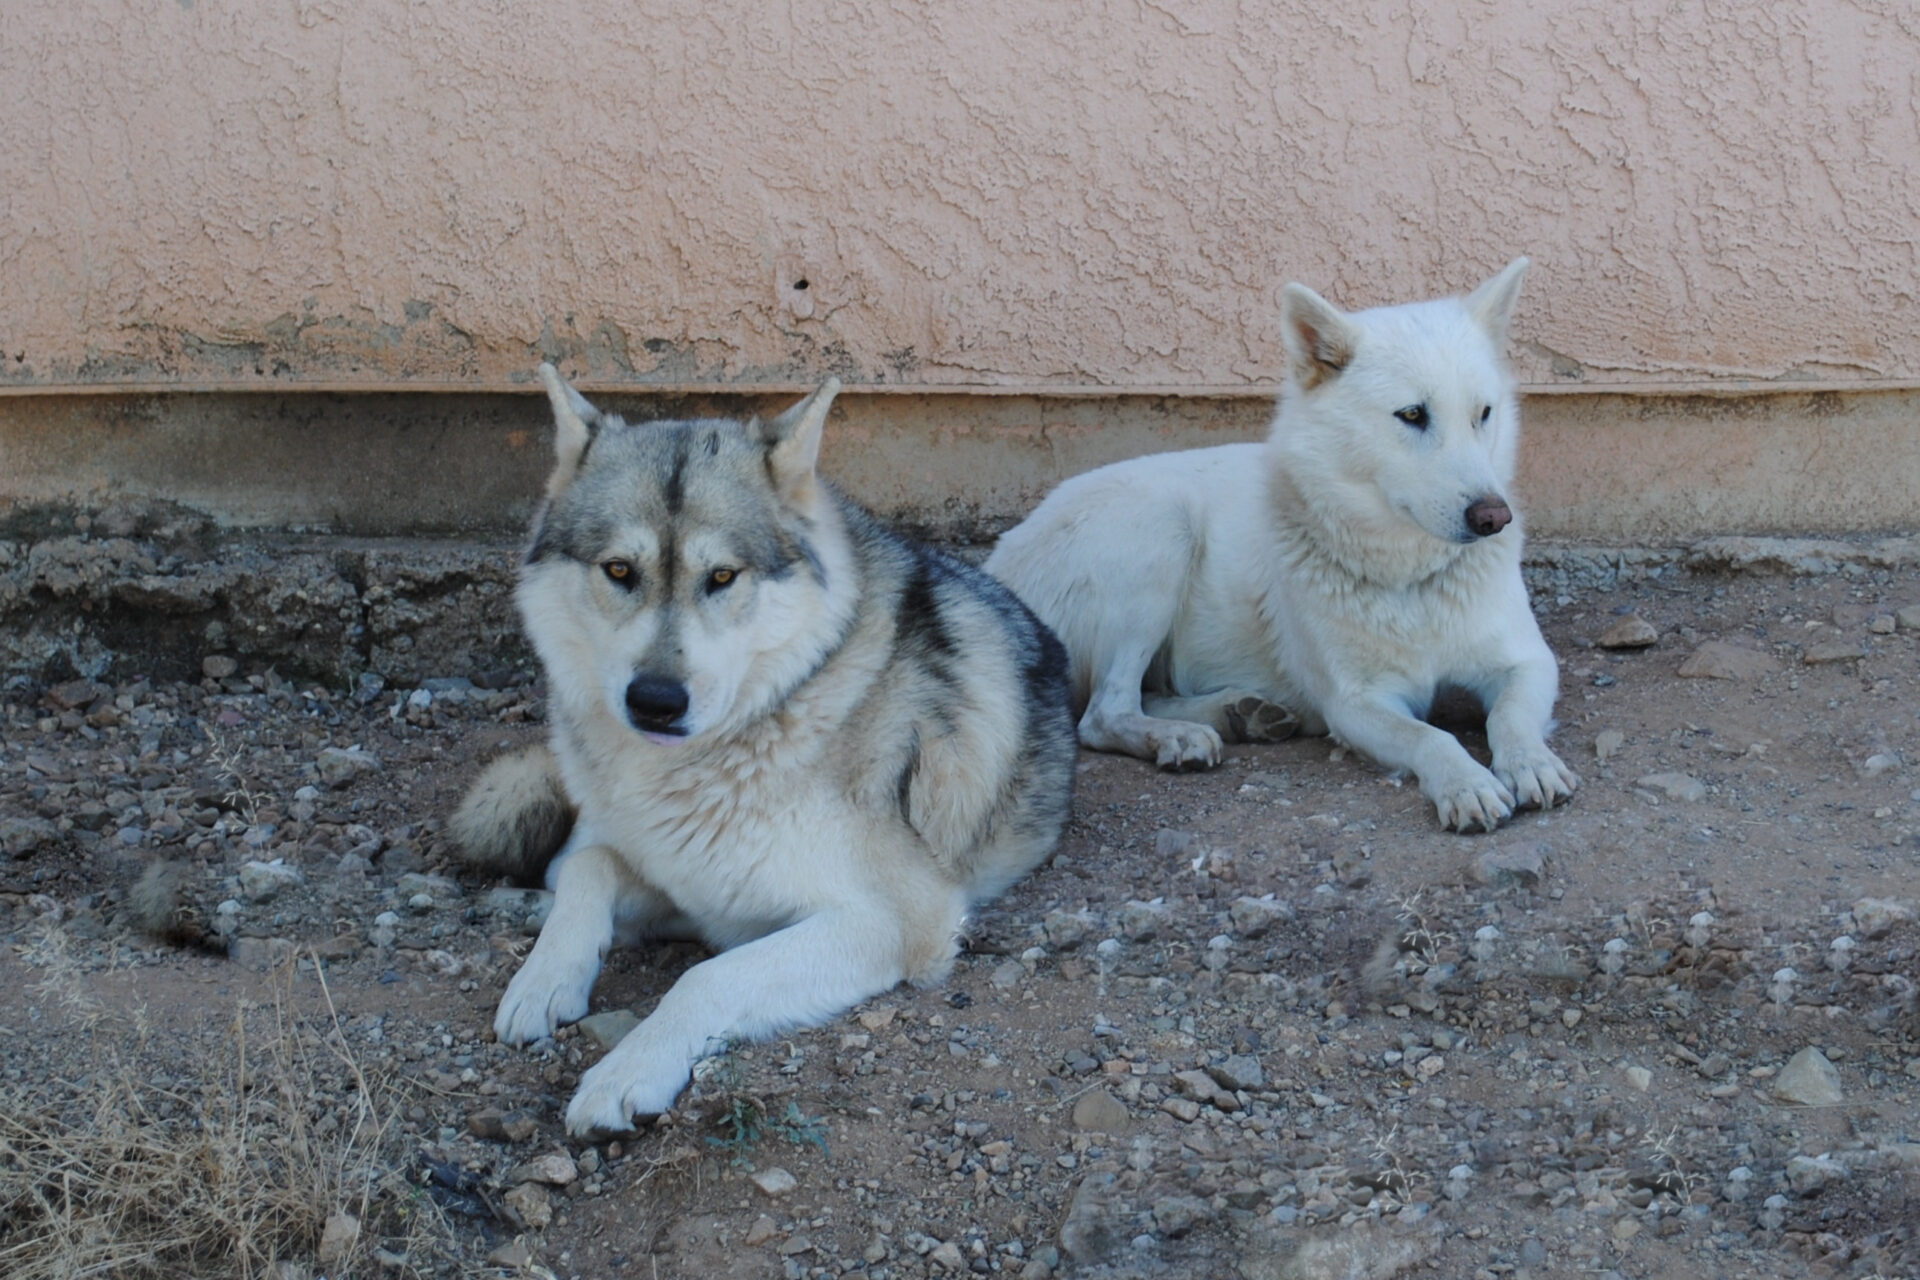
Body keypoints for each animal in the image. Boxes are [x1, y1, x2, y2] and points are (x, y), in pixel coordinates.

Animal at [983, 264, 1582, 836]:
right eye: (1413, 415)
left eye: (1484, 413)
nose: (1493, 517)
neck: (1412, 581)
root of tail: (998, 564)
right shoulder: (1357, 703)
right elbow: (1430, 737)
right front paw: (1466, 784)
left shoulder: (1529, 663)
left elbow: (1509, 718)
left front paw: (1531, 763)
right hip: (1160, 529)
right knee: (1103, 714)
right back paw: (1182, 735)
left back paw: (1236, 713)